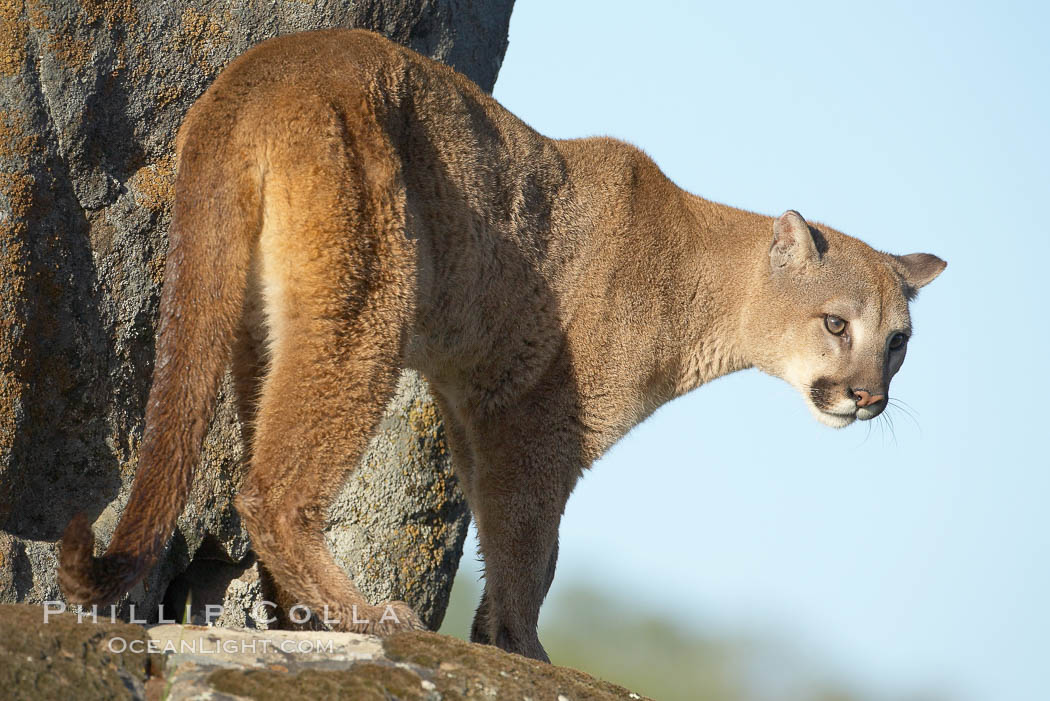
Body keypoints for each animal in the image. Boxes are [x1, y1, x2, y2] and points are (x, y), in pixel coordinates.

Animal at [55, 28, 944, 663]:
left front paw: (495, 635)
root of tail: (258, 67)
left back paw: (301, 619)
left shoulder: (474, 404)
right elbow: (530, 541)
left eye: (898, 341)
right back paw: (363, 615)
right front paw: (523, 647)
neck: (701, 275)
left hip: (260, 329)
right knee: (271, 487)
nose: (869, 395)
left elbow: (505, 532)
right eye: (837, 323)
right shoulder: (540, 416)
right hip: (365, 301)